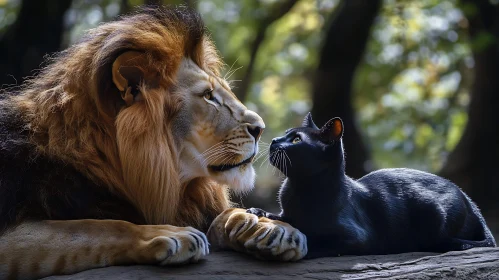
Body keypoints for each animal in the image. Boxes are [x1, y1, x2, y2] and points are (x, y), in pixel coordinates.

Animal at [0, 4, 306, 280]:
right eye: (208, 96)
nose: (260, 129)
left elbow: (227, 213)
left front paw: (267, 226)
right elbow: (97, 227)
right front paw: (167, 234)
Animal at [248, 112, 498, 258]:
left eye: (296, 140)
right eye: (286, 134)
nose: (274, 140)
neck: (299, 187)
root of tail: (469, 201)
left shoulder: (358, 238)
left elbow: (320, 242)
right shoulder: (289, 214)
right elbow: (281, 216)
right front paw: (257, 210)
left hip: (432, 210)